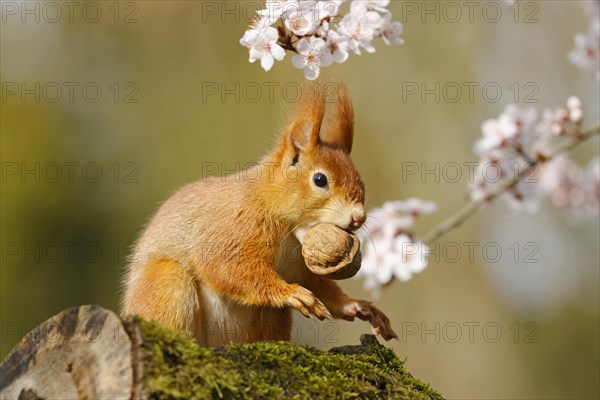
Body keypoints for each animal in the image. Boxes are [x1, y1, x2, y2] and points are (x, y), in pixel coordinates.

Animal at [119, 82, 396, 346]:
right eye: (320, 180)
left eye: (360, 180)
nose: (359, 218)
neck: (290, 231)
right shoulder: (237, 225)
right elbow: (227, 267)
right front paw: (290, 293)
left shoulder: (300, 268)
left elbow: (321, 288)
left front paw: (359, 306)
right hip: (166, 283)